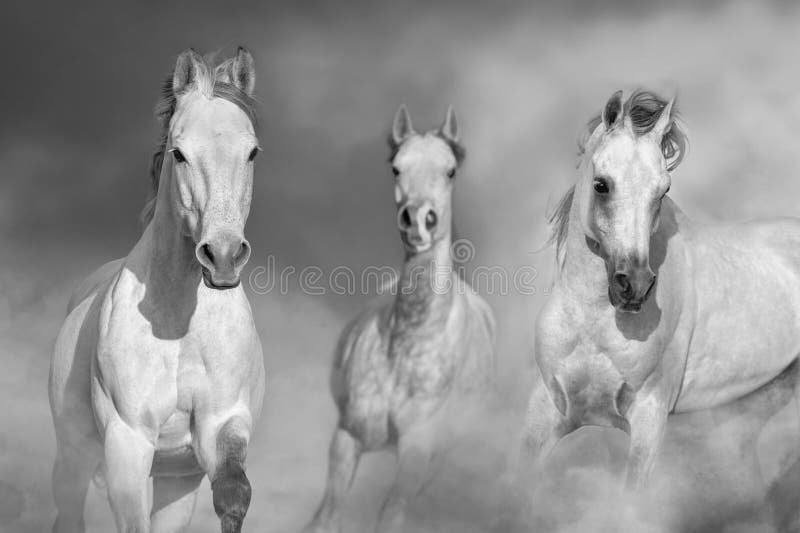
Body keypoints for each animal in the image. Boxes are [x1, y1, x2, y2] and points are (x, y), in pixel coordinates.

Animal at [49, 47, 266, 528]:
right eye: (179, 154)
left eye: (252, 153)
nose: (223, 255)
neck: (177, 327)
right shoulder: (127, 440)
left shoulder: (222, 425)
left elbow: (234, 494)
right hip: (75, 454)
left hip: (175, 480)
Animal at [306, 105, 494, 532]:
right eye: (396, 168)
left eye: (450, 170)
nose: (418, 220)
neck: (407, 347)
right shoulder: (346, 439)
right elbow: (326, 518)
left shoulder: (417, 451)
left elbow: (391, 516)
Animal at [520, 87, 800, 490]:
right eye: (601, 183)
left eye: (662, 190)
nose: (634, 286)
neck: (593, 323)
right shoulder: (546, 408)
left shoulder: (649, 418)